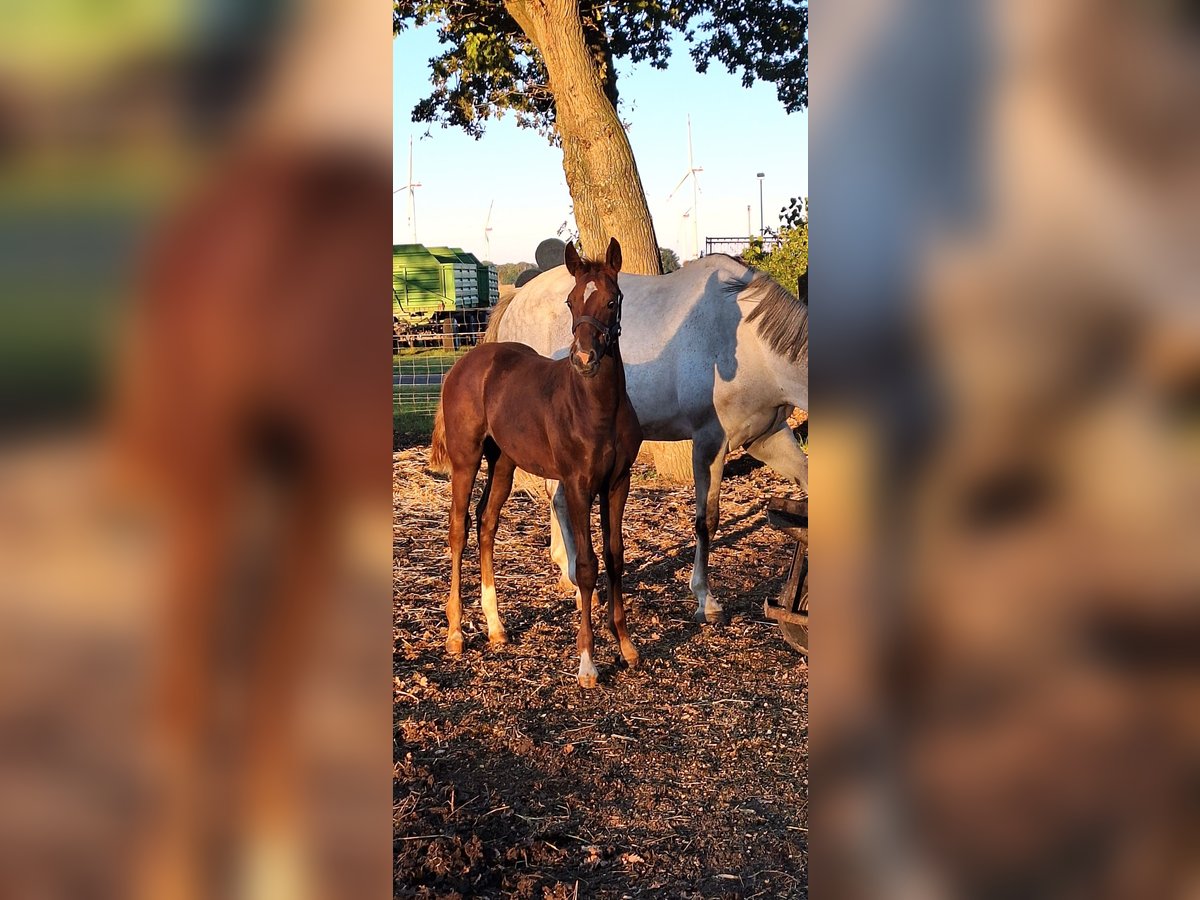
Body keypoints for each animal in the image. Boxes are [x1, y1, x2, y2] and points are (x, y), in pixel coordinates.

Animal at [430, 238, 643, 688]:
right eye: (570, 301)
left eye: (612, 300)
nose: (584, 358)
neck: (597, 409)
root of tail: (467, 362)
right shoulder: (578, 484)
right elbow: (586, 565)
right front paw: (587, 663)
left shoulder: (618, 482)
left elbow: (615, 556)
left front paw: (626, 646)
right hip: (466, 459)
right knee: (458, 527)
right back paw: (456, 633)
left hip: (503, 463)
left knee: (486, 523)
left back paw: (496, 627)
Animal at [483, 256, 808, 624]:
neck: (747, 341)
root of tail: (516, 300)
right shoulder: (709, 443)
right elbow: (706, 521)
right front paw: (705, 599)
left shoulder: (767, 438)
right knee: (560, 499)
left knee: (557, 498)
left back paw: (567, 573)